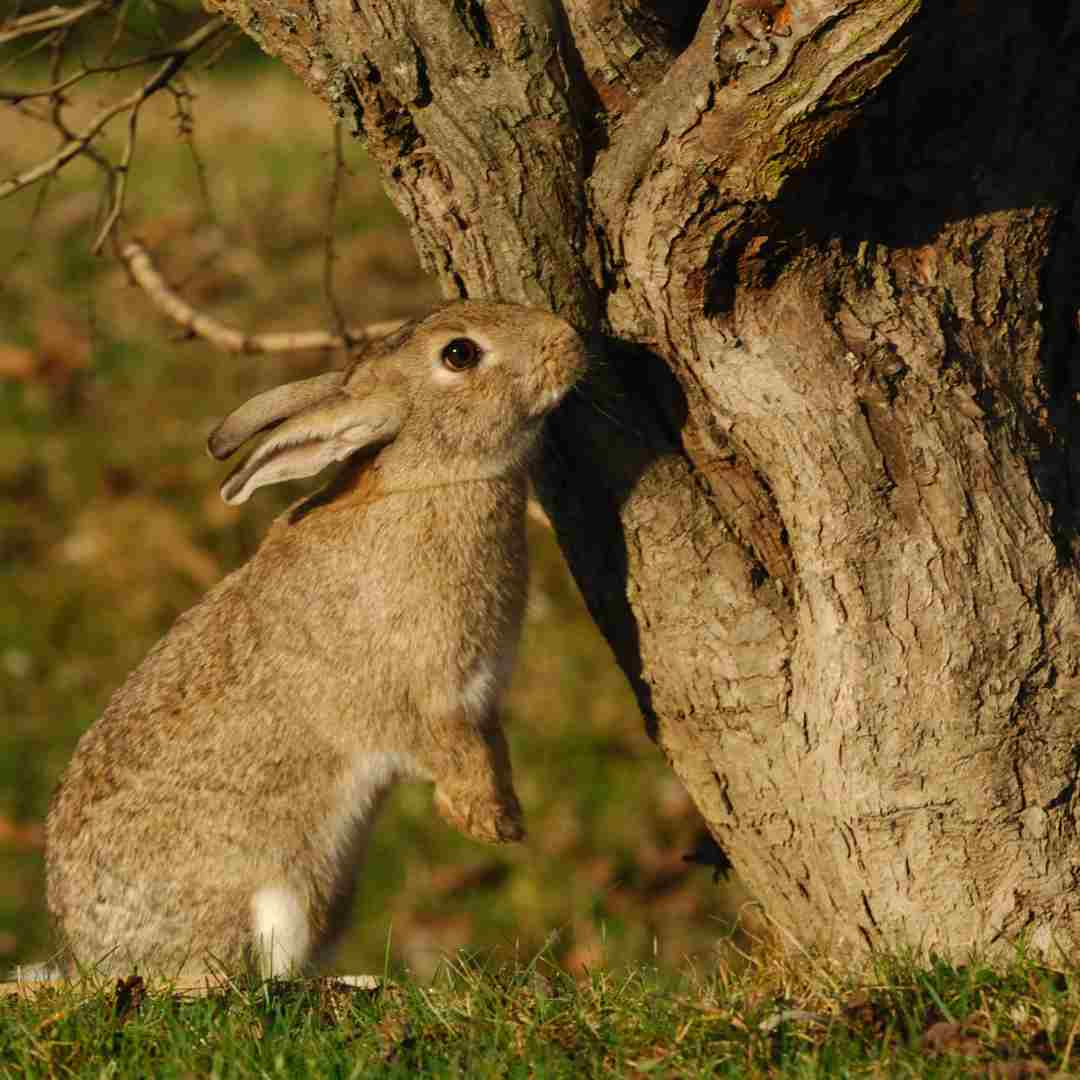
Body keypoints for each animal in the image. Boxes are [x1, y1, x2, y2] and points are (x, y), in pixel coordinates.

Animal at [42, 298, 587, 980]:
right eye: (459, 354)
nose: (571, 341)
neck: (433, 479)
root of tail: (92, 959)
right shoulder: (414, 698)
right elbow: (444, 749)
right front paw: (482, 823)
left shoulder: (480, 701)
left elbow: (491, 748)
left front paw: (505, 819)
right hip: (275, 894)